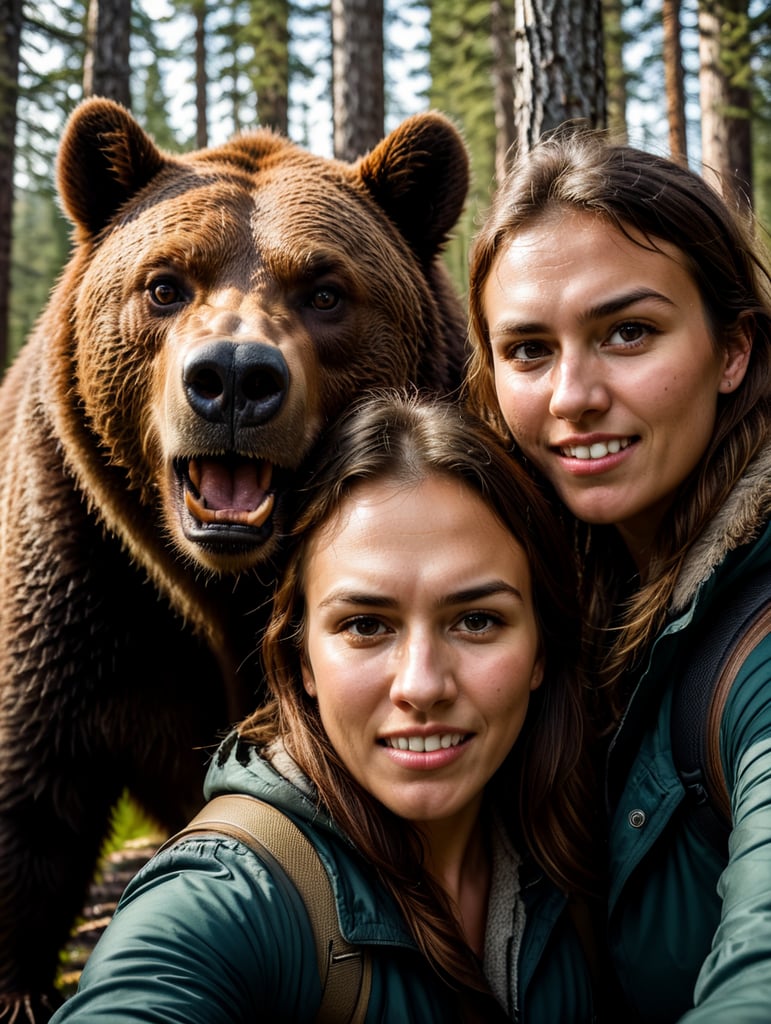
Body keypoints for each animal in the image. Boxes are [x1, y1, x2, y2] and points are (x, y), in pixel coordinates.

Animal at [0, 96, 469, 1021]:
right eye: (164, 283)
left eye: (325, 290)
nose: (232, 379)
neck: (222, 588)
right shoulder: (80, 562)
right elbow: (32, 800)